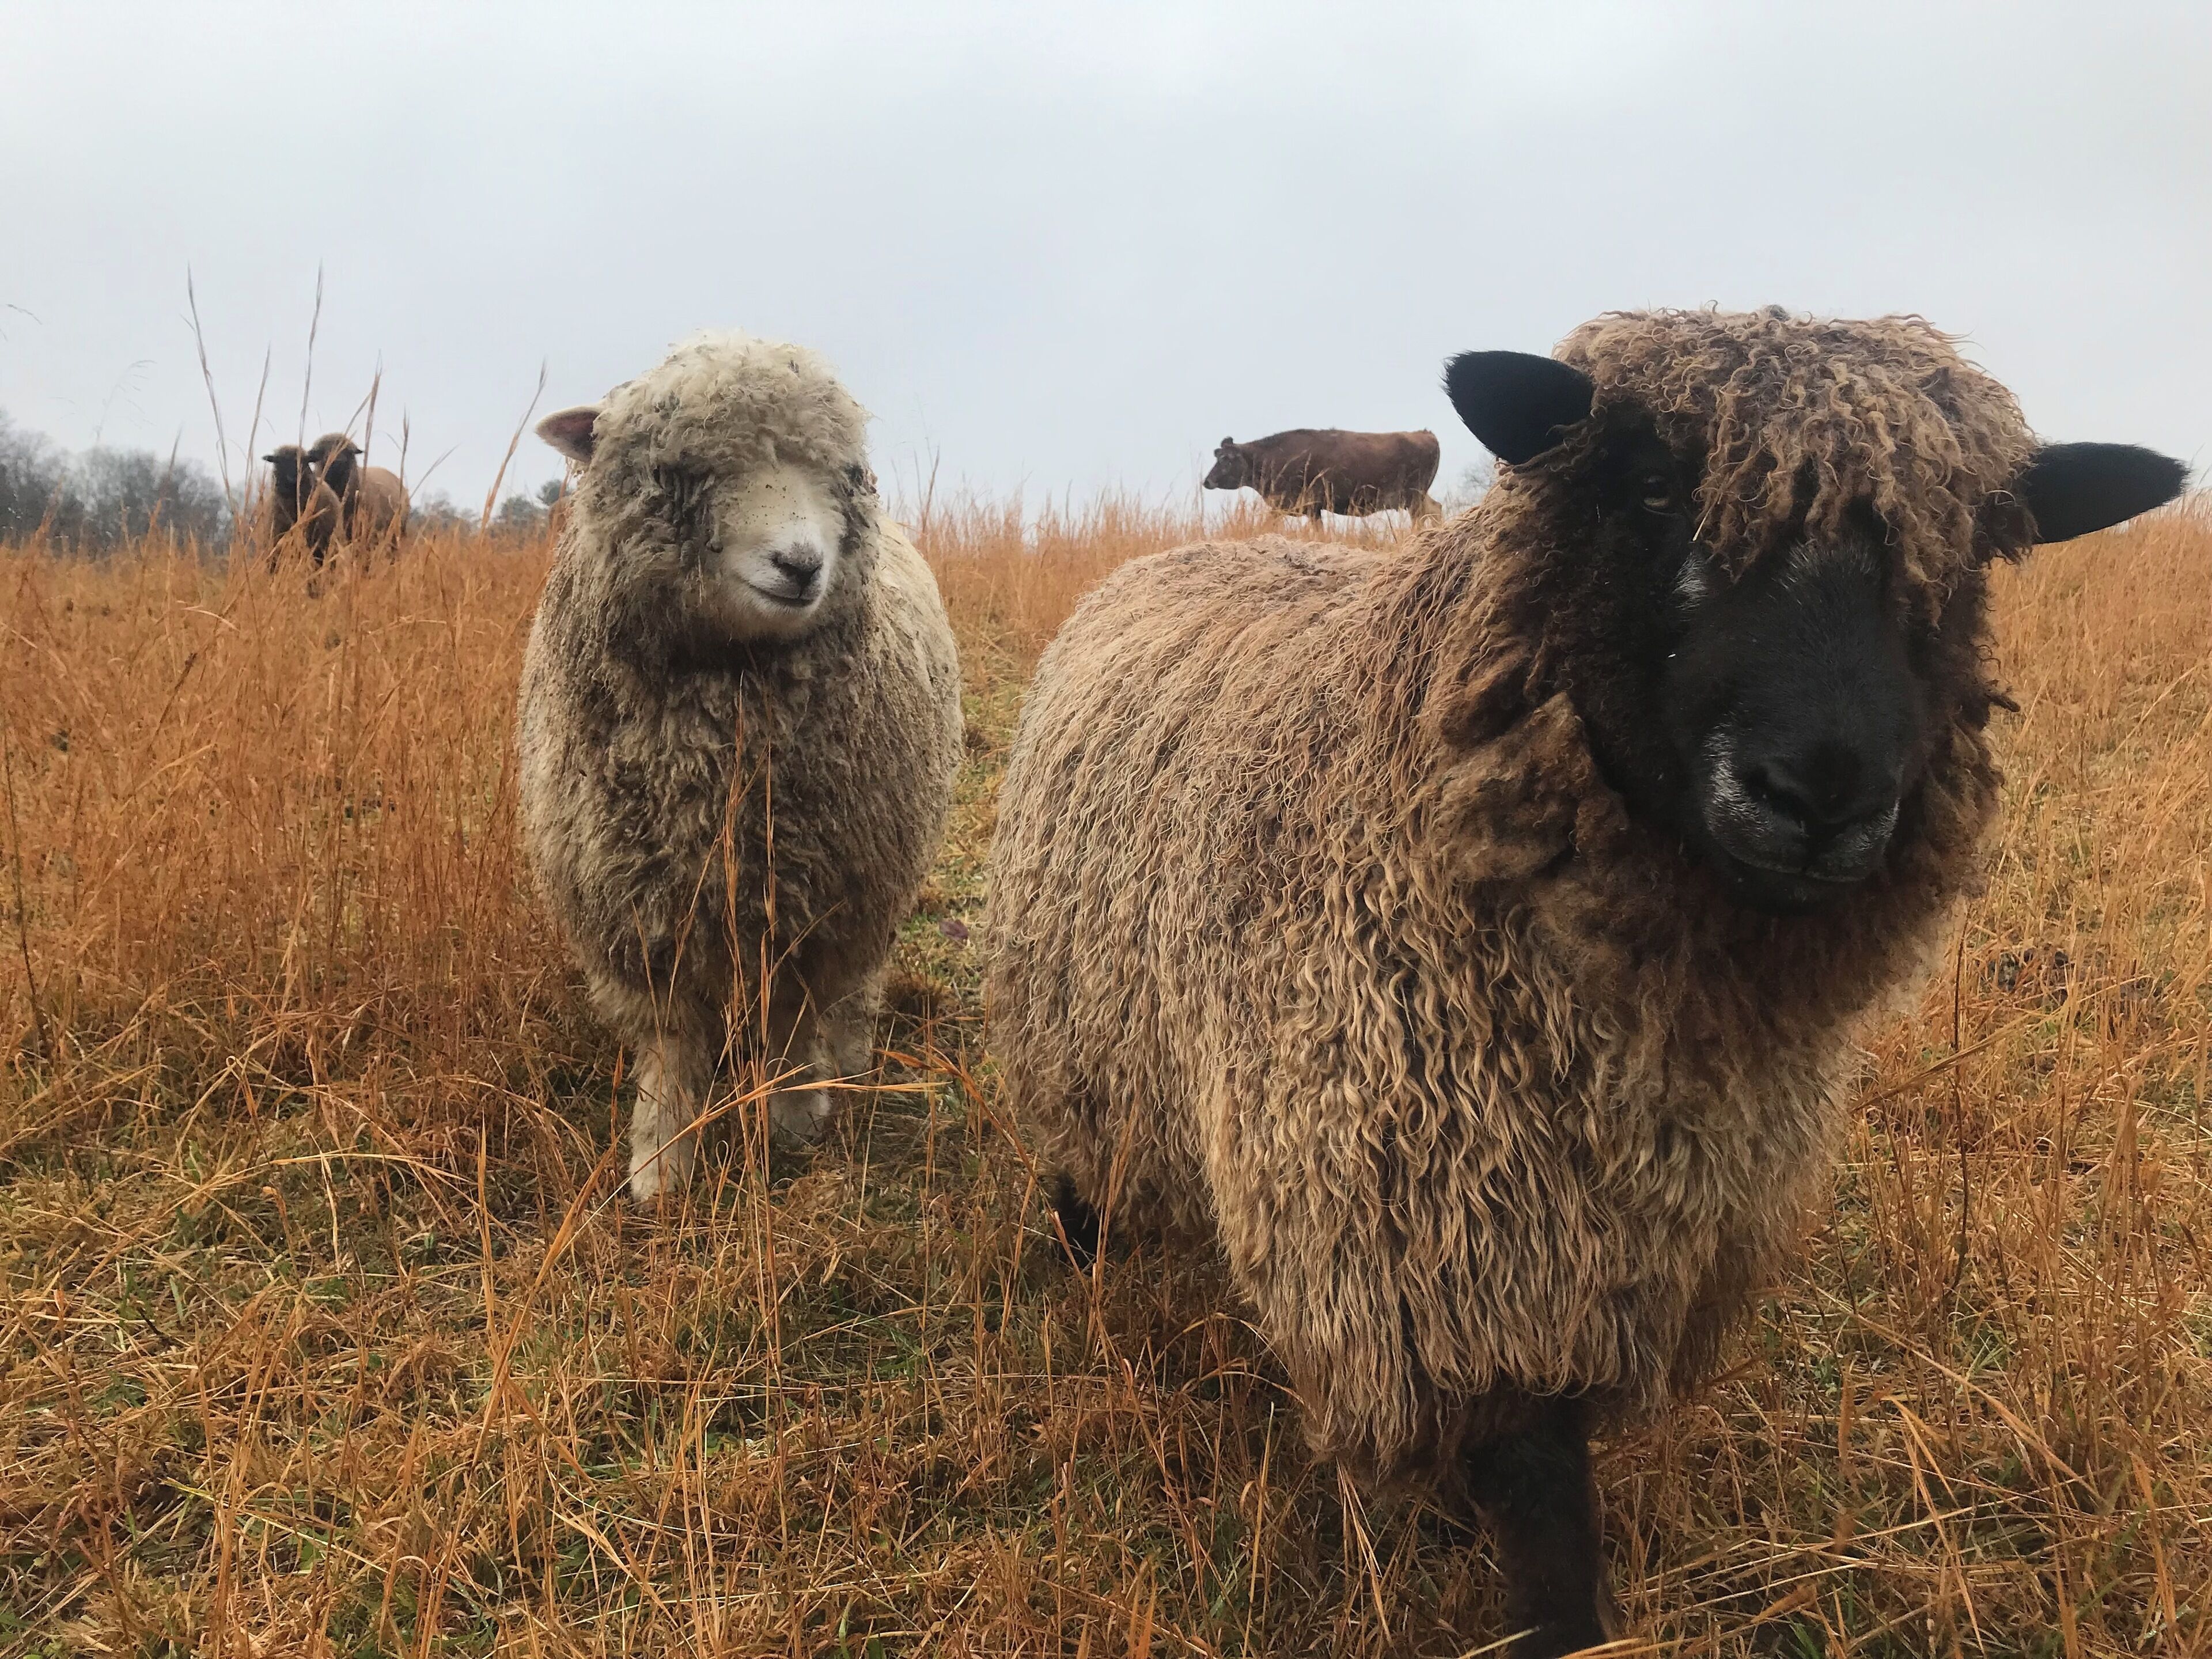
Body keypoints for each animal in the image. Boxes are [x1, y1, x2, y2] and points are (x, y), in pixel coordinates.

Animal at [517, 331, 963, 1203]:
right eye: (681, 470)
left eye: (843, 473)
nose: (801, 564)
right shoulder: (638, 905)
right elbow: (670, 1043)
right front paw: (660, 1162)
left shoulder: (812, 898)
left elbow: (792, 1017)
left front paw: (792, 1118)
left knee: (851, 990)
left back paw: (847, 1060)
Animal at [982, 307, 2185, 1652]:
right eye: (1654, 487)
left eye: (1969, 548)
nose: (1819, 789)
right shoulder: (1439, 1234)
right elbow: (1538, 1478)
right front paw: (1562, 1617)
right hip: (1073, 1025)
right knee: (1082, 1162)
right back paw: (1080, 1263)